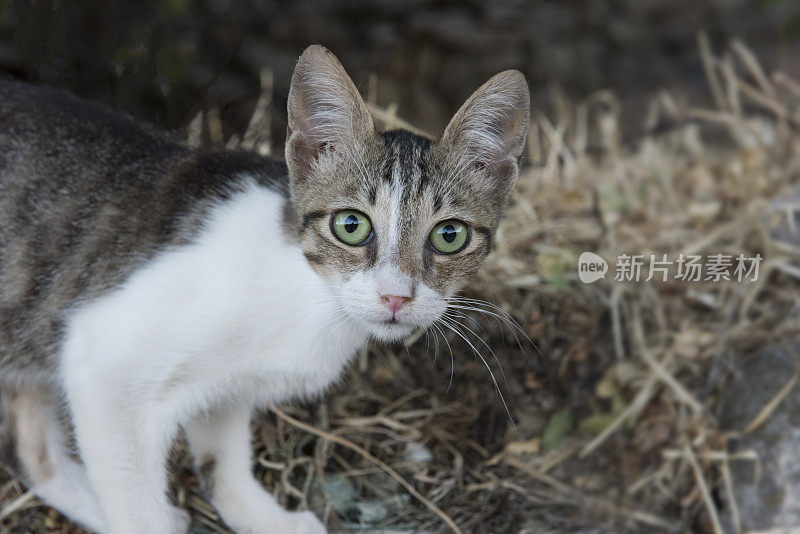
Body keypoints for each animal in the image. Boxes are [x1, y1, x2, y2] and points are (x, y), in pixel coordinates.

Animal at [1, 46, 532, 534]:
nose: (395, 296)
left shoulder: (227, 388)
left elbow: (223, 459)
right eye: (351, 226)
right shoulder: (103, 368)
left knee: (32, 450)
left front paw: (261, 517)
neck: (312, 301)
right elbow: (137, 512)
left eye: (450, 236)